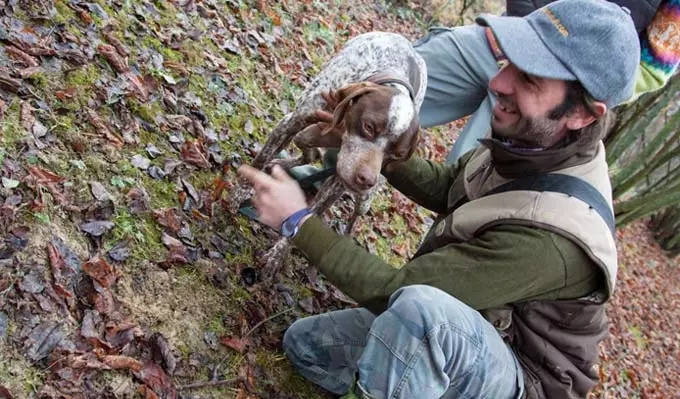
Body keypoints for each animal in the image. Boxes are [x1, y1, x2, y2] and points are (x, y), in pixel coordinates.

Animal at [231, 32, 428, 278]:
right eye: (369, 127)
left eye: (396, 154)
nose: (366, 180)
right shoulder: (292, 123)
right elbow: (260, 160)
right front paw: (241, 191)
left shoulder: (339, 180)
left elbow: (310, 213)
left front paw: (277, 255)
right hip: (303, 134)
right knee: (310, 154)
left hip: (364, 199)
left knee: (352, 215)